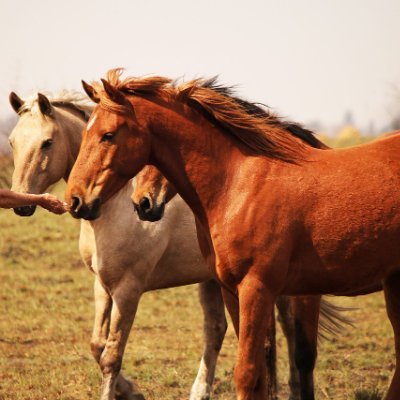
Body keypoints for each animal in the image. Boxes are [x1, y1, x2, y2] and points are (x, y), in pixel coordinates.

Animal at [8, 90, 346, 400]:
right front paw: (130, 390)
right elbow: (97, 346)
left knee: (286, 330)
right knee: (222, 331)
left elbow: (111, 356)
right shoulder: (102, 285)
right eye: (12, 142)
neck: (117, 204)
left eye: (47, 142)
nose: (22, 203)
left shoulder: (128, 289)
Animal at [64, 70, 398, 398]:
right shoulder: (230, 289)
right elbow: (261, 373)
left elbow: (249, 373)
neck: (238, 184)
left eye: (108, 135)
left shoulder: (257, 288)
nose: (75, 200)